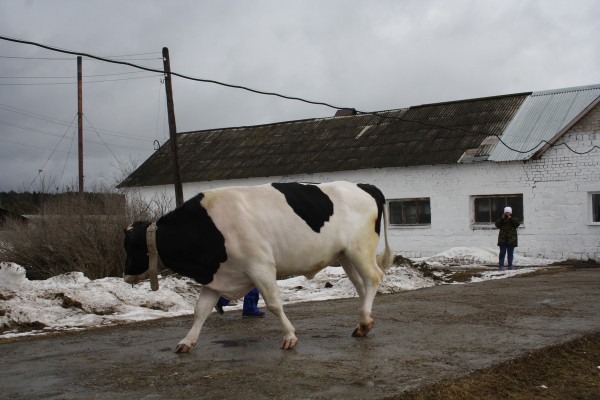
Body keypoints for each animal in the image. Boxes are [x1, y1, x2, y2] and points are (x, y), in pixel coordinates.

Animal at [123, 181, 394, 354]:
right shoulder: (218, 275)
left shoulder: (260, 266)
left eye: (130, 246)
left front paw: (289, 337)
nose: (125, 275)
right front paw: (187, 342)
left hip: (360, 248)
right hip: (345, 255)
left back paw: (364, 319)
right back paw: (364, 323)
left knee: (373, 277)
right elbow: (200, 310)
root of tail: (364, 186)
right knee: (361, 284)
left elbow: (274, 304)